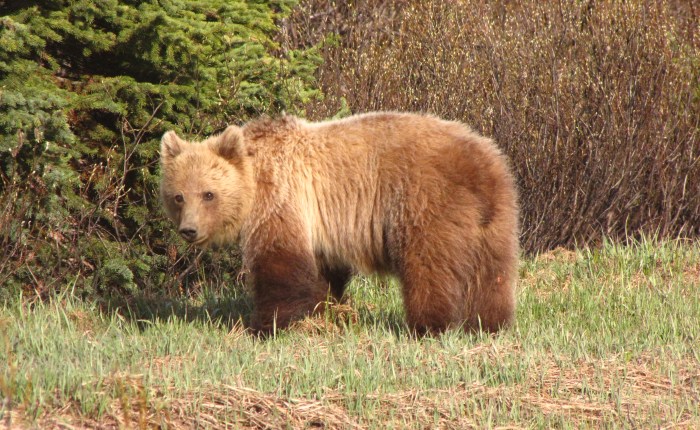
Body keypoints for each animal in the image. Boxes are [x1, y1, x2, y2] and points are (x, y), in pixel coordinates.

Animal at [159, 112, 519, 335]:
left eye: (208, 194)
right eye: (179, 196)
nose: (189, 230)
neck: (254, 178)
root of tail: (481, 169)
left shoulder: (282, 198)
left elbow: (280, 265)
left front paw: (264, 325)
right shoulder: (319, 226)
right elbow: (321, 273)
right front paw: (322, 313)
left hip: (424, 201)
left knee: (429, 267)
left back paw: (428, 325)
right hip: (498, 216)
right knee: (493, 274)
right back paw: (488, 323)